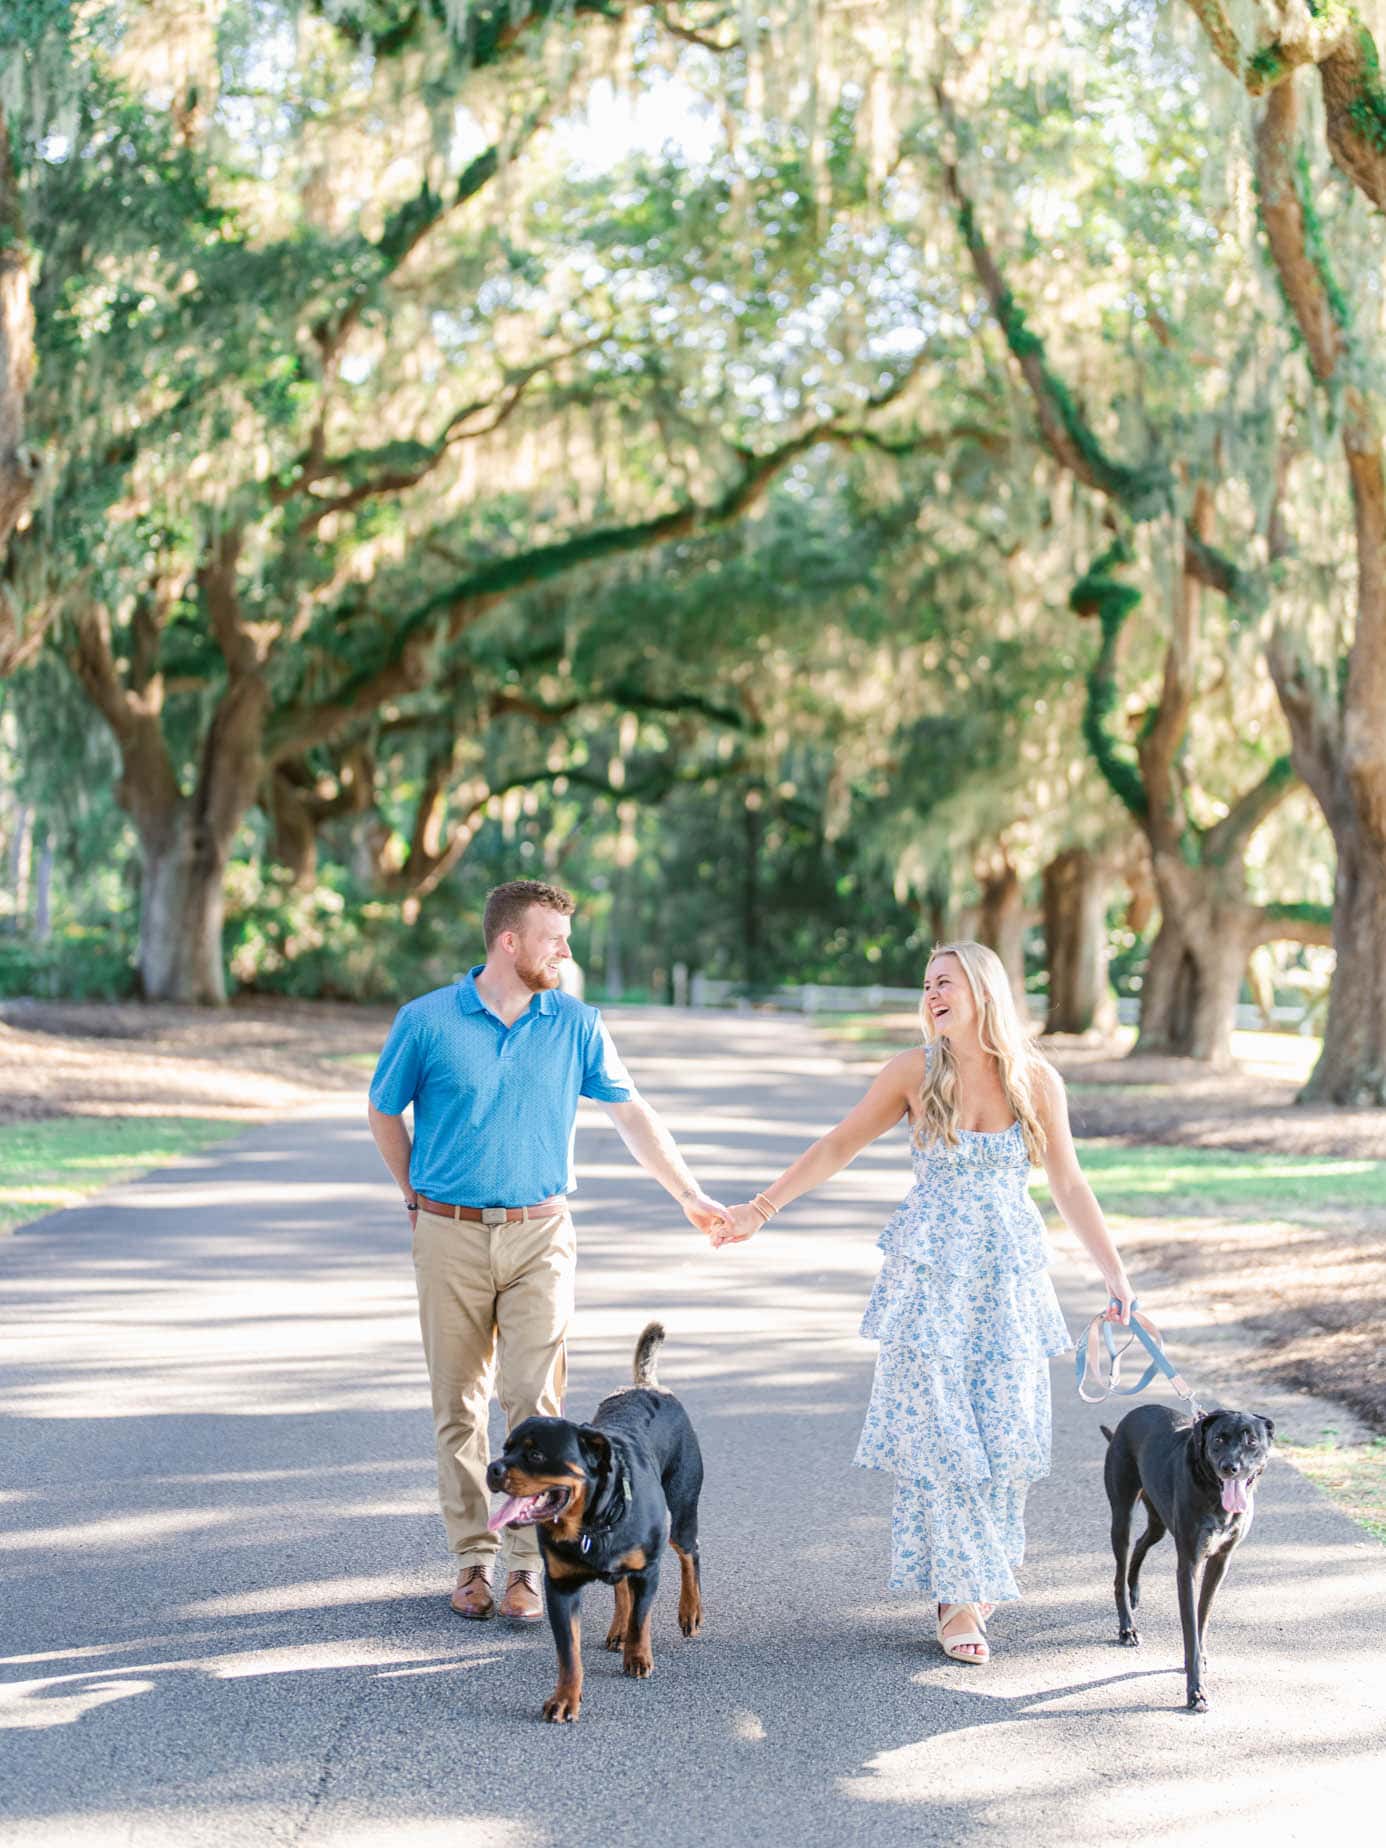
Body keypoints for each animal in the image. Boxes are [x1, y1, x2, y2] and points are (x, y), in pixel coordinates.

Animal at [484, 1323, 705, 1722]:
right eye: (506, 1448)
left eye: (536, 1455)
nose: (492, 1468)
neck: (590, 1523)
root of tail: (647, 1385)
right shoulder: (559, 1588)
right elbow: (568, 1654)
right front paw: (565, 1698)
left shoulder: (648, 1570)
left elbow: (641, 1620)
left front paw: (638, 1656)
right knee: (621, 1588)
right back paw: (617, 1629)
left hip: (682, 1508)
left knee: (689, 1553)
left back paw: (690, 1612)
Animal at [1108, 1397, 1278, 1714]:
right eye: (1219, 1439)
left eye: (1251, 1440)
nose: (1230, 1467)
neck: (1213, 1492)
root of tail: (1134, 1412)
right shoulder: (1188, 1564)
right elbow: (1190, 1629)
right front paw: (1195, 1692)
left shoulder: (1220, 1561)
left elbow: (1203, 1614)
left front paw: (1201, 1659)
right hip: (1122, 1514)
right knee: (1119, 1570)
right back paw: (1127, 1628)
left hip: (1159, 1521)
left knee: (1142, 1543)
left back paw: (1134, 1590)